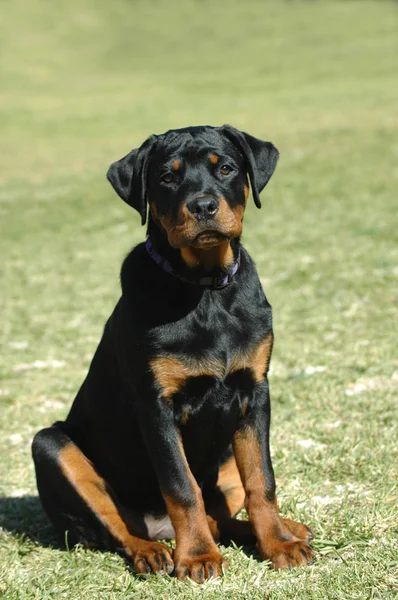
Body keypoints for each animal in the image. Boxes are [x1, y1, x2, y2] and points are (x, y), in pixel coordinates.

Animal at [31, 125, 314, 580]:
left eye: (226, 168)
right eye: (167, 177)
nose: (203, 206)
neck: (205, 288)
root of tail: (159, 529)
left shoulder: (255, 393)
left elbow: (262, 480)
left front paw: (279, 545)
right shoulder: (156, 404)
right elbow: (181, 487)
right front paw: (198, 557)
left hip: (226, 455)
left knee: (223, 515)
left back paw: (286, 529)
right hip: (53, 446)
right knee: (116, 525)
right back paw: (153, 552)